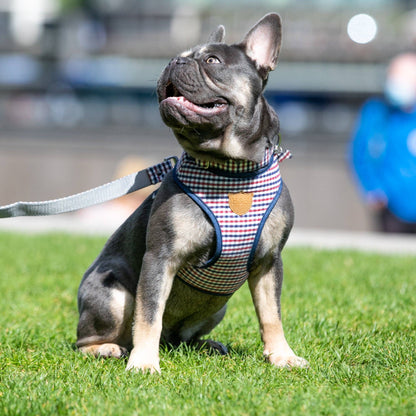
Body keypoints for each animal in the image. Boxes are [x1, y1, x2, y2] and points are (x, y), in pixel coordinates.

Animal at [75, 13, 308, 372]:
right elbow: (149, 315)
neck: (230, 169)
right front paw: (144, 363)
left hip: (217, 308)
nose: (175, 61)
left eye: (212, 61)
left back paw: (205, 345)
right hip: (113, 293)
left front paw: (282, 354)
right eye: (178, 56)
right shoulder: (160, 258)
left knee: (179, 338)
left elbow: (272, 314)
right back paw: (107, 349)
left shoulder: (269, 262)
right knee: (89, 340)